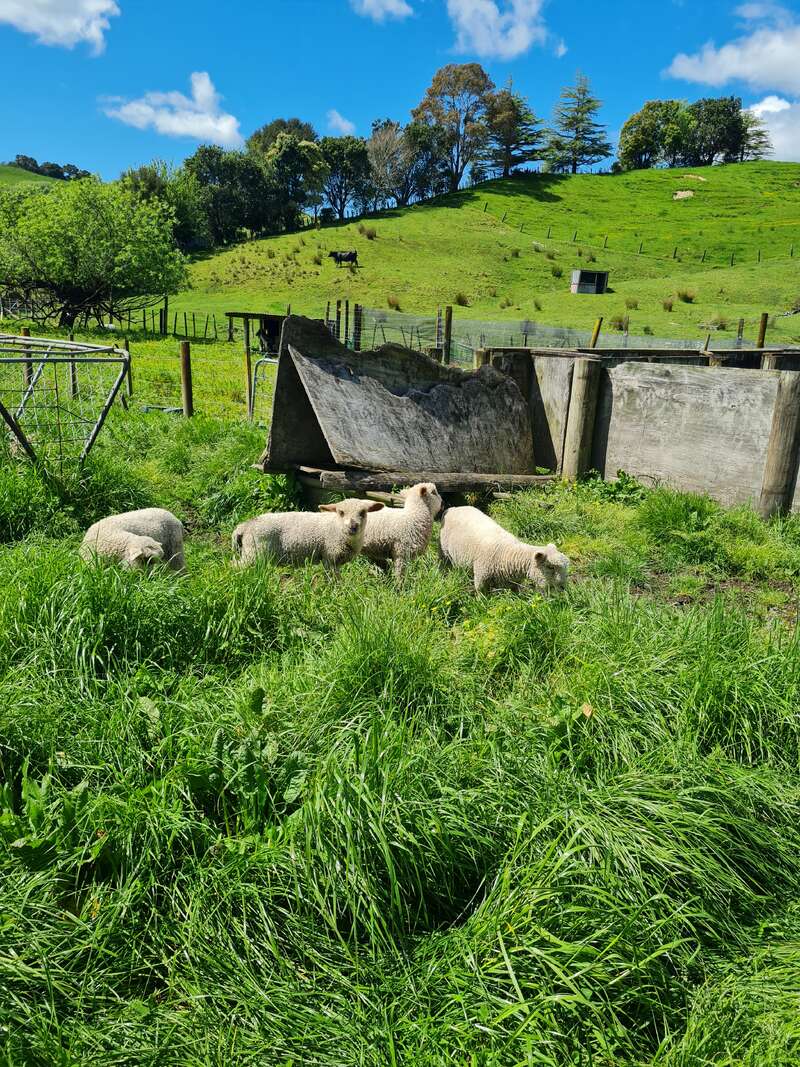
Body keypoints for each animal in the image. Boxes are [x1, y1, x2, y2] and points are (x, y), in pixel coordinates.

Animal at [232, 497, 384, 569]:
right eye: (341, 512)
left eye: (363, 512)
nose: (352, 527)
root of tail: (244, 526)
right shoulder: (329, 557)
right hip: (253, 554)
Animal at [439, 506, 569, 594]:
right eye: (550, 567)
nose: (563, 587)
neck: (508, 553)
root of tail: (453, 508)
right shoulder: (481, 575)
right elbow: (481, 593)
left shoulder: (513, 582)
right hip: (445, 551)